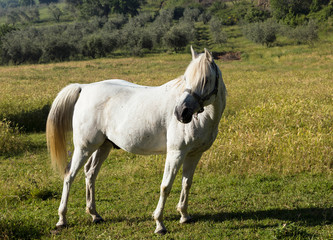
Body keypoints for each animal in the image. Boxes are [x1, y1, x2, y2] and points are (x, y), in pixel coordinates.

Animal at [46, 47, 226, 234]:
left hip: (103, 146)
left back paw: (95, 215)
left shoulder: (194, 154)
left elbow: (187, 183)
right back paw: (62, 219)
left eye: (206, 79)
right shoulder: (176, 153)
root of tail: (85, 88)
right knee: (69, 175)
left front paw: (184, 216)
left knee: (90, 174)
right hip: (84, 147)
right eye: (185, 78)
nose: (181, 112)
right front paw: (159, 224)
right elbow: (166, 186)